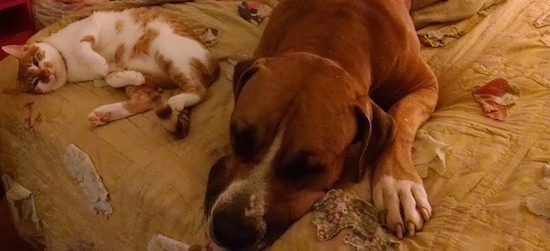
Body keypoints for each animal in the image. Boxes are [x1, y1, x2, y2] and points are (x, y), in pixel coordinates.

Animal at [2, 5, 222, 138]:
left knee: (199, 90)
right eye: (36, 83)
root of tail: (216, 64)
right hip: (145, 84)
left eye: (36, 61)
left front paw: (99, 63)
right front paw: (125, 74)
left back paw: (177, 100)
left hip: (165, 50)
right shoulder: (114, 69)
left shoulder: (89, 30)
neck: (69, 63)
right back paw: (104, 114)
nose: (46, 74)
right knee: (145, 101)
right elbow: (110, 78)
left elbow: (85, 49)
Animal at [205, 0, 442, 248]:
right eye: (238, 135)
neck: (330, 41)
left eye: (308, 169)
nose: (230, 231)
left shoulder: (426, 84)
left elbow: (400, 119)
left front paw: (398, 185)